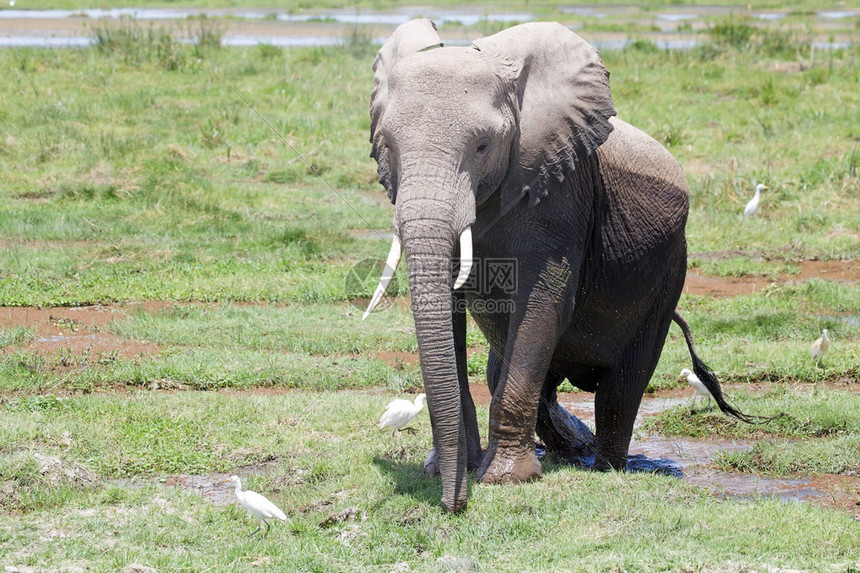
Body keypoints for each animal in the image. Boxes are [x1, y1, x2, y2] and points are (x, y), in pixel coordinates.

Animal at [360, 19, 748, 510]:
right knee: (519, 373)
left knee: (621, 388)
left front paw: (504, 480)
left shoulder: (564, 198)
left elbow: (543, 306)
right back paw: (572, 448)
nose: (455, 505)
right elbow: (450, 314)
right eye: (386, 147)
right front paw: (453, 470)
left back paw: (604, 466)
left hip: (668, 270)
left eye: (483, 146)